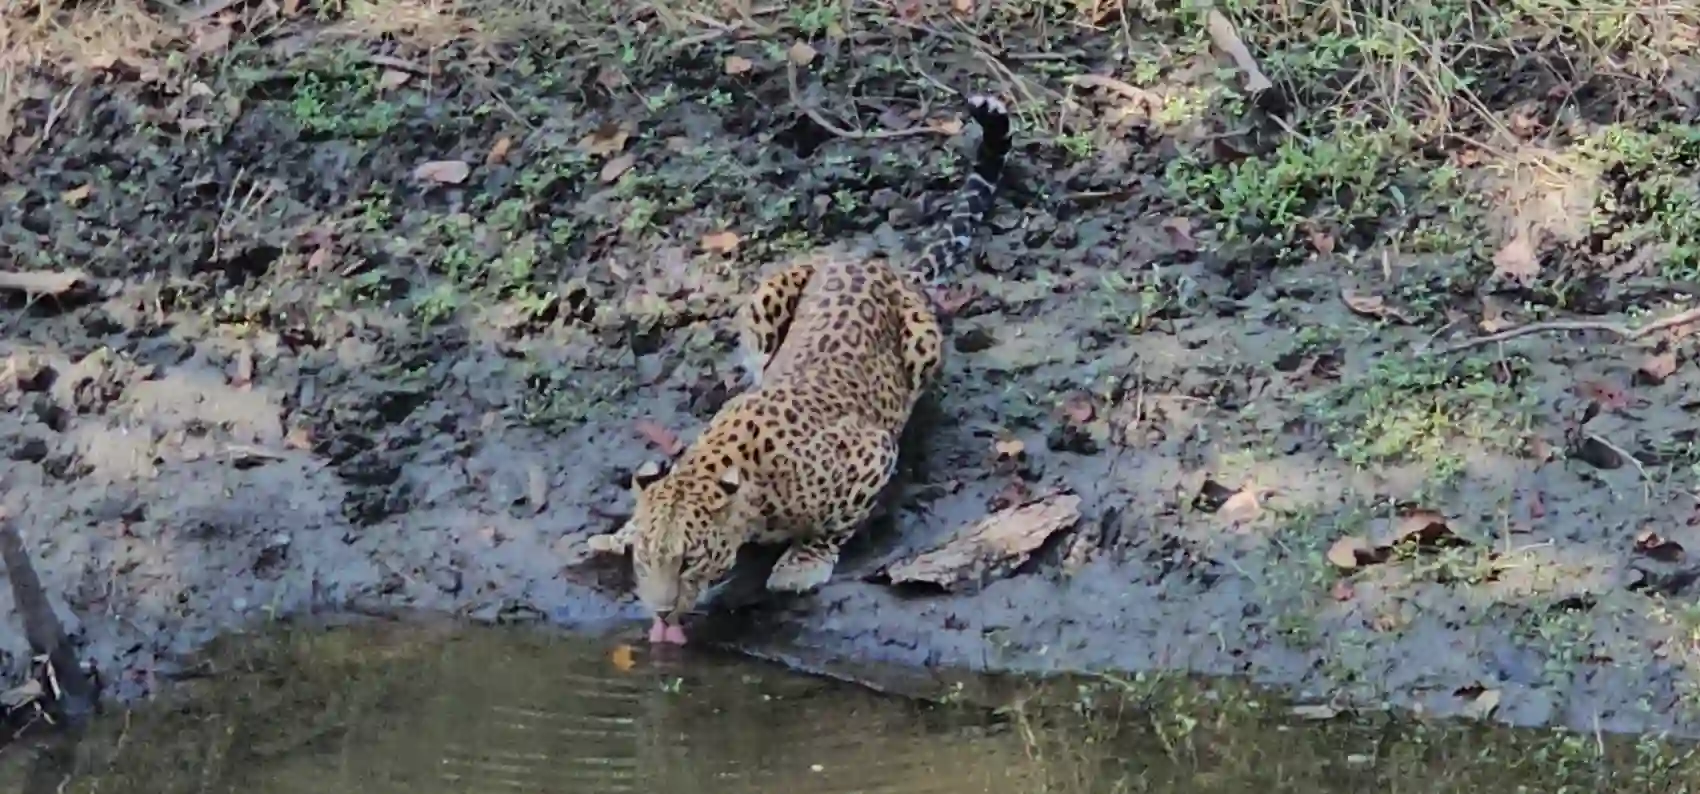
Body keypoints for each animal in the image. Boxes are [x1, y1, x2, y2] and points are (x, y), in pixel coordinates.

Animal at [586, 94, 1013, 645]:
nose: (660, 613)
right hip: (766, 298)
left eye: (688, 562)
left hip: (922, 343)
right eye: (646, 560)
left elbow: (835, 523)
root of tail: (882, 265)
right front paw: (615, 535)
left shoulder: (871, 451)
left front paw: (803, 562)